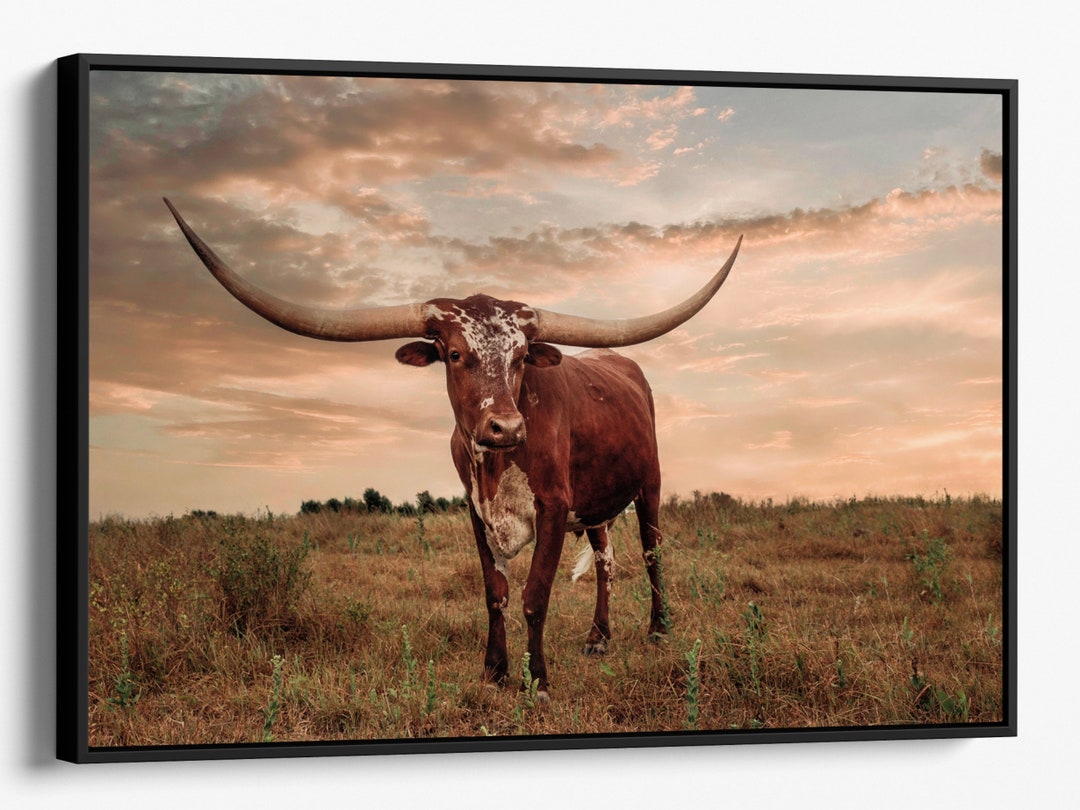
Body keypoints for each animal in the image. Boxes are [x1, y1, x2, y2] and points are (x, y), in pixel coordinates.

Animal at [164, 197, 741, 701]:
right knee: (606, 560)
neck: (496, 463)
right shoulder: (477, 509)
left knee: (651, 552)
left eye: (522, 356)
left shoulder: (553, 505)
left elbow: (534, 595)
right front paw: (494, 672)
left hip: (650, 487)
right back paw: (598, 637)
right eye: (456, 354)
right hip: (595, 503)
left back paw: (658, 630)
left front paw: (537, 680)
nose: (506, 427)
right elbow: (495, 593)